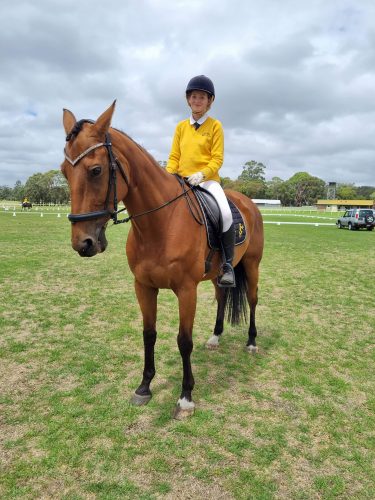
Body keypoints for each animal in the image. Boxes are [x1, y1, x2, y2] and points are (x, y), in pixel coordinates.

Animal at [61, 100, 264, 418]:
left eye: (95, 170)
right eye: (63, 172)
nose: (83, 243)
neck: (161, 224)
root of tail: (248, 202)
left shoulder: (186, 290)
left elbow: (183, 341)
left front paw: (186, 397)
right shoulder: (144, 287)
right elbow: (149, 333)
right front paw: (144, 387)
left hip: (253, 264)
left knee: (253, 300)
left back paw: (252, 342)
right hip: (219, 273)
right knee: (221, 297)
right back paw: (215, 338)